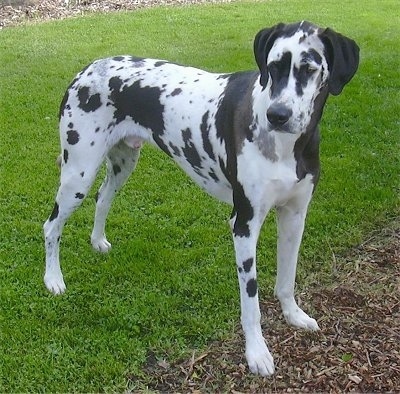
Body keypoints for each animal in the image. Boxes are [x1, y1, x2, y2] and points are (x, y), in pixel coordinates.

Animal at [43, 20, 360, 376]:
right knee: (51, 226)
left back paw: (97, 240)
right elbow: (251, 303)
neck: (286, 146)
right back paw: (53, 279)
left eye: (309, 69)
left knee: (102, 198)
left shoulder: (294, 216)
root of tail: (87, 69)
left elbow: (286, 279)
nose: (278, 115)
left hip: (122, 165)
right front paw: (256, 352)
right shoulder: (244, 225)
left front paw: (293, 316)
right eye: (274, 66)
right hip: (78, 174)